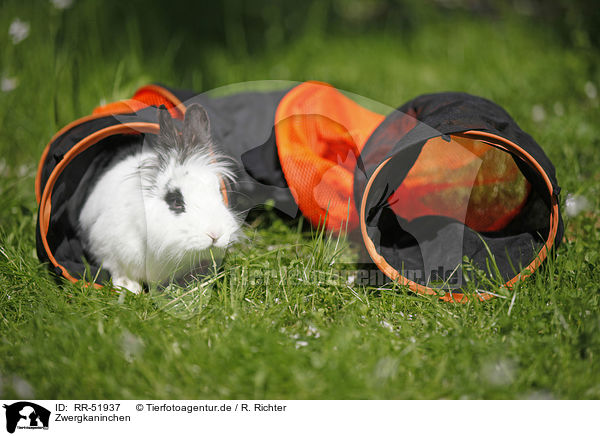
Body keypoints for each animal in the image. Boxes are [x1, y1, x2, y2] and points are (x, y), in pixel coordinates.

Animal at [78, 104, 240, 292]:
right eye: (176, 201)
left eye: (218, 192)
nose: (215, 234)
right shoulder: (106, 246)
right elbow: (117, 269)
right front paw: (129, 288)